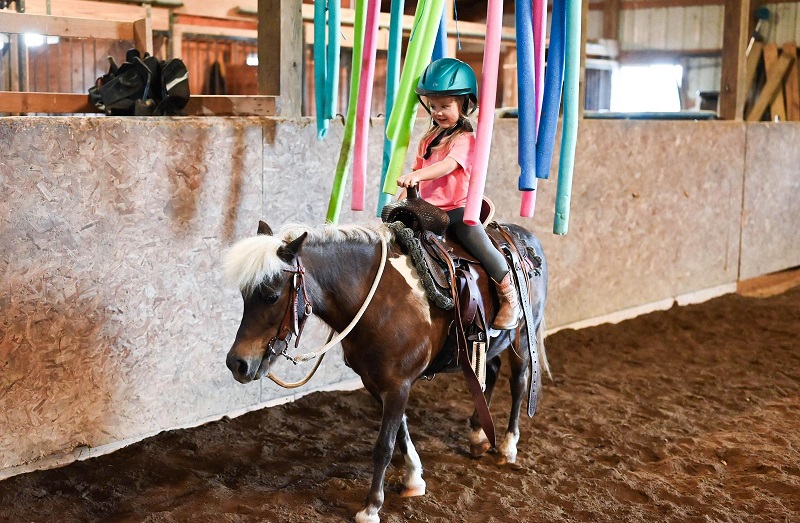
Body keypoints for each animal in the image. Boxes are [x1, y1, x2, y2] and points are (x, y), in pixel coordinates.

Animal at [223, 219, 548, 523]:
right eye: (243, 295)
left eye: (271, 295)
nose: (237, 363)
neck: (380, 301)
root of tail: (525, 238)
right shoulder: (376, 381)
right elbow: (401, 431)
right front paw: (414, 479)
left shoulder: (398, 384)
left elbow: (384, 444)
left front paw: (370, 507)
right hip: (488, 345)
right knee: (491, 370)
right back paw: (480, 436)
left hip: (522, 337)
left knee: (519, 384)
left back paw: (507, 447)